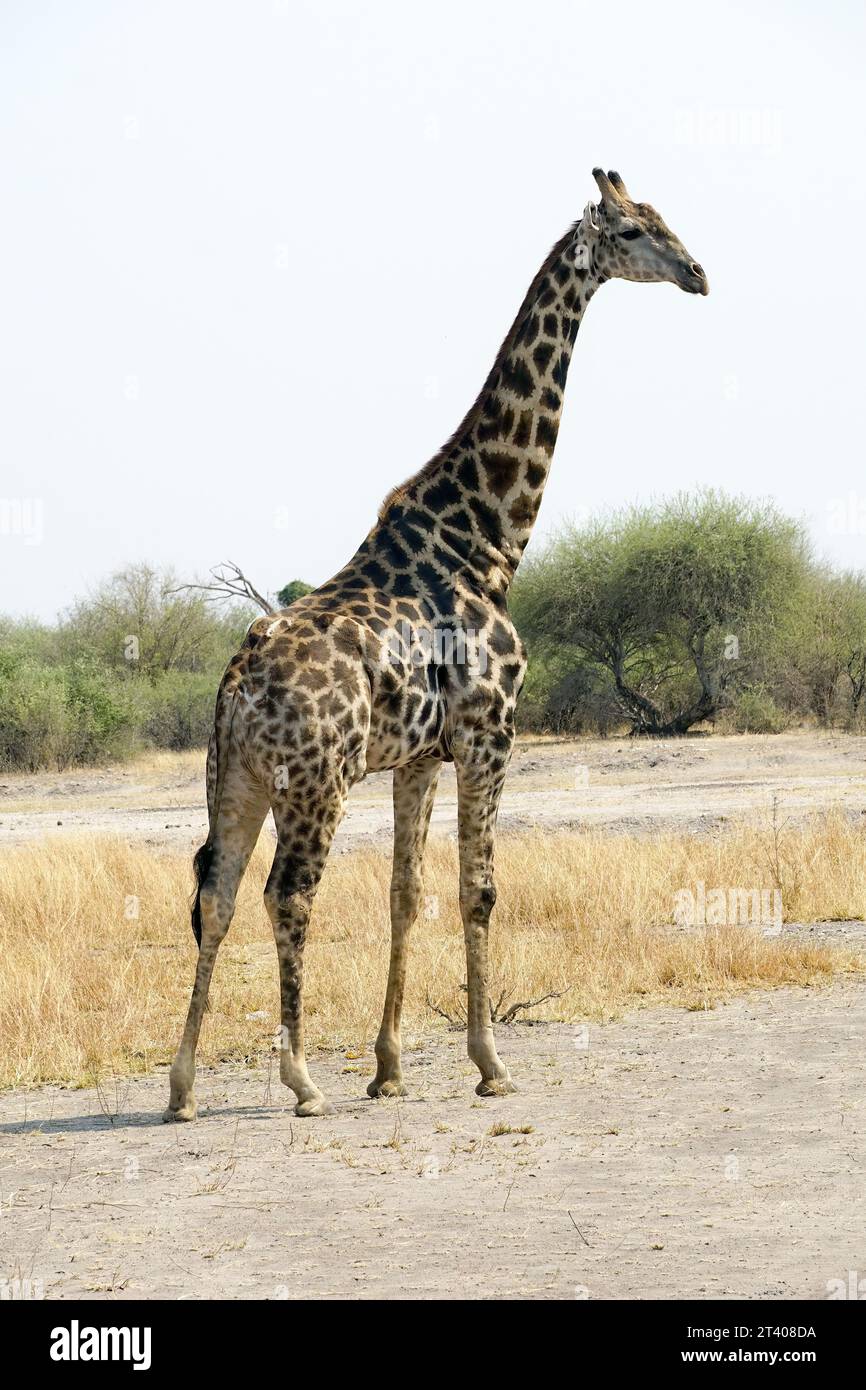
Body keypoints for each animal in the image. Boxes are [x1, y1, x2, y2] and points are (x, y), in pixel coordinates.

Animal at [164, 168, 708, 1121]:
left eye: (662, 218)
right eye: (637, 229)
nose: (698, 273)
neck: (489, 535)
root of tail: (236, 687)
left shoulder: (419, 755)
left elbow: (405, 894)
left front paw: (388, 1068)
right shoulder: (492, 733)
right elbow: (478, 889)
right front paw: (490, 1063)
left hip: (235, 779)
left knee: (216, 894)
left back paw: (184, 1085)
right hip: (314, 783)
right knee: (286, 895)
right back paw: (300, 1080)